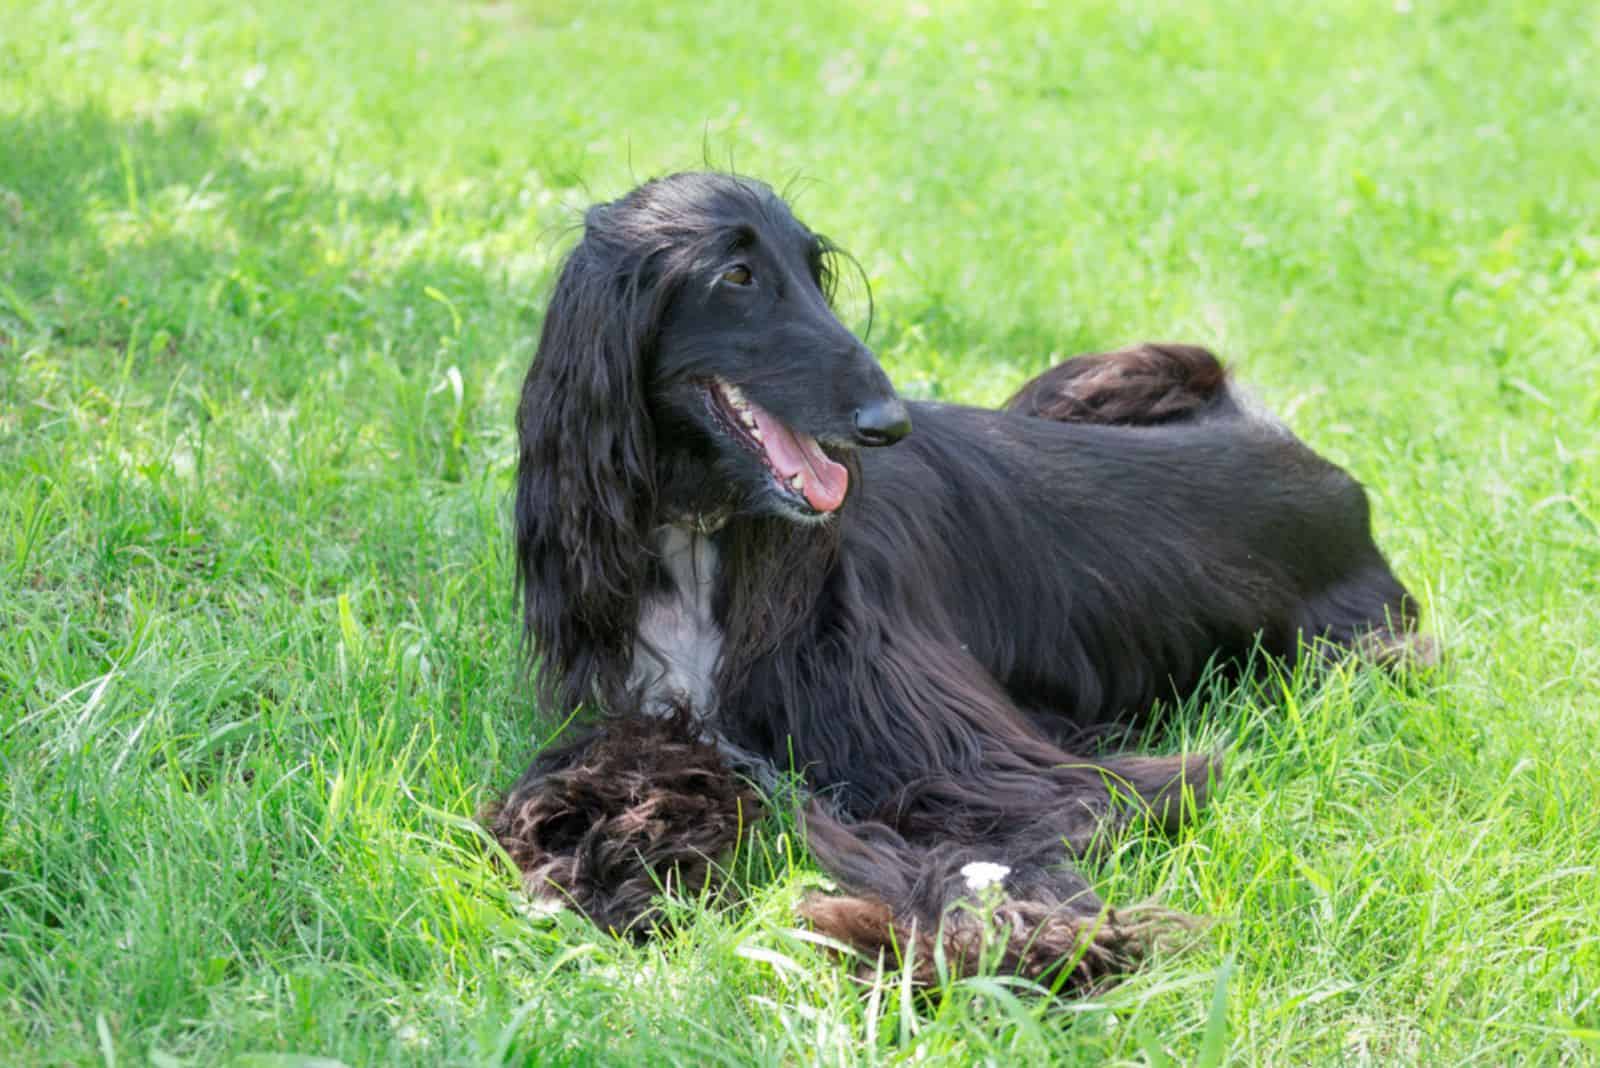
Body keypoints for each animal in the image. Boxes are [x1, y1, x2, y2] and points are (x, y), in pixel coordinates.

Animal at [492, 173, 1433, 991]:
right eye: (737, 275)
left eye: (815, 268)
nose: (888, 423)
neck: (708, 538)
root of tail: (1332, 475)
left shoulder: (1008, 771)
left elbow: (992, 846)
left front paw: (947, 943)